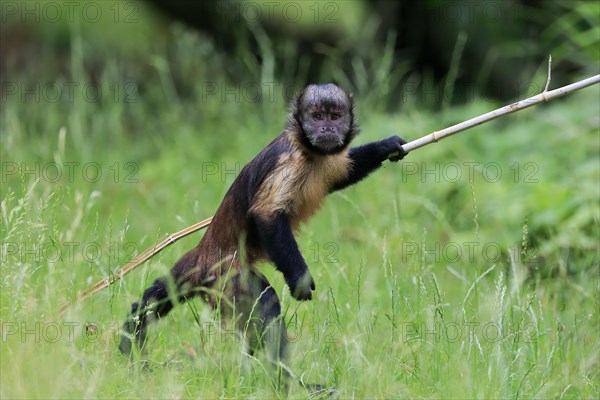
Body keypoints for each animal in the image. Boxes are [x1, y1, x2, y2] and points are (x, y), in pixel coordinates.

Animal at [118, 83, 408, 392]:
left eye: (335, 116)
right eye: (317, 116)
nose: (327, 128)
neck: (306, 149)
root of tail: (203, 254)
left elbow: (343, 171)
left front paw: (385, 146)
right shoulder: (290, 161)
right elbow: (266, 216)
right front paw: (300, 279)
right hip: (226, 278)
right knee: (266, 303)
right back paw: (287, 384)